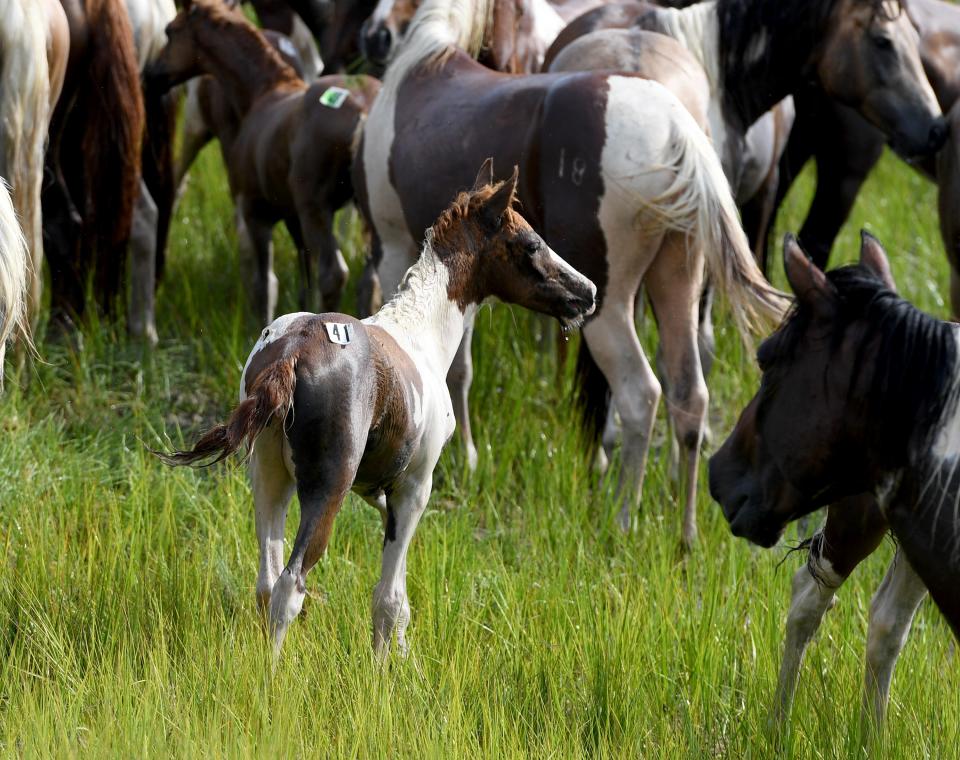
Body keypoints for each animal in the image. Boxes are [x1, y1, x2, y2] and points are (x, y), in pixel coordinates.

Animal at [146, 0, 378, 324]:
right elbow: (304, 279)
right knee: (370, 280)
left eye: (170, 31)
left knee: (333, 274)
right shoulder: (292, 217)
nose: (150, 75)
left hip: (315, 209)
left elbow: (265, 284)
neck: (263, 92)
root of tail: (362, 109)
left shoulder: (257, 212)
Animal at [158, 163, 596, 656]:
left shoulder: (377, 490)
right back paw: (273, 673)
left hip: (269, 478)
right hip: (326, 490)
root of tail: (293, 350)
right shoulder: (415, 486)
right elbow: (387, 599)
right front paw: (386, 666)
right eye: (532, 243)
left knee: (267, 582)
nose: (587, 291)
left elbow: (398, 595)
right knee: (290, 585)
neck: (421, 334)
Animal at [356, 0, 784, 548]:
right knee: (689, 394)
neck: (426, 63)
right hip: (678, 283)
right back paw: (685, 534)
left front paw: (464, 456)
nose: (374, 36)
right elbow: (461, 367)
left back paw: (623, 519)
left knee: (641, 394)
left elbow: (444, 364)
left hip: (612, 310)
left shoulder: (395, 250)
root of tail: (677, 129)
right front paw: (469, 454)